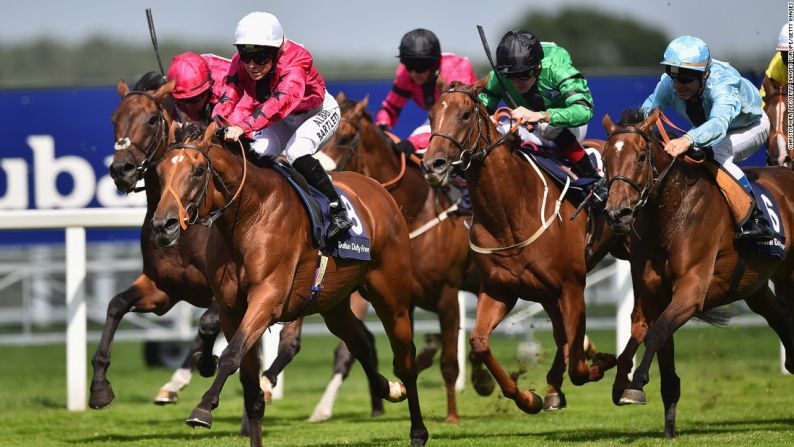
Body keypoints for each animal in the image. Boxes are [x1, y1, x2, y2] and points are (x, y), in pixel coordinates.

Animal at [90, 79, 226, 410]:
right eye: (113, 118)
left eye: (152, 120)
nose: (121, 170)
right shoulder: (163, 289)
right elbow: (116, 305)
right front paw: (99, 386)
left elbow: (208, 323)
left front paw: (207, 363)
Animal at [152, 121, 430, 447]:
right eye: (160, 171)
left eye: (198, 170)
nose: (163, 225)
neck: (250, 214)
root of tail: (379, 190)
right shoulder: (231, 309)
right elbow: (250, 389)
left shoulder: (267, 298)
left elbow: (231, 355)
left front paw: (203, 408)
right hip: (334, 304)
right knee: (358, 342)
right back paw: (390, 389)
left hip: (391, 296)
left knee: (405, 357)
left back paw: (418, 431)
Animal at [310, 92, 474, 424]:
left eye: (344, 139)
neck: (413, 212)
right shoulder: (395, 294)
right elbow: (391, 355)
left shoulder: (448, 294)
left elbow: (449, 362)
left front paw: (451, 415)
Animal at [420, 81, 620, 416]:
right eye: (432, 114)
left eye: (464, 115)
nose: (432, 165)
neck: (510, 212)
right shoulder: (500, 289)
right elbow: (479, 342)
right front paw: (528, 398)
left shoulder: (572, 285)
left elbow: (579, 365)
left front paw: (603, 361)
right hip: (546, 292)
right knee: (561, 335)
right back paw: (552, 389)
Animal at [600, 107, 792, 438]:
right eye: (606, 158)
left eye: (641, 157)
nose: (617, 213)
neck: (670, 212)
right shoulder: (653, 293)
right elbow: (646, 335)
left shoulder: (692, 290)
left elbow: (655, 333)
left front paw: (635, 385)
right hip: (757, 285)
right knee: (779, 316)